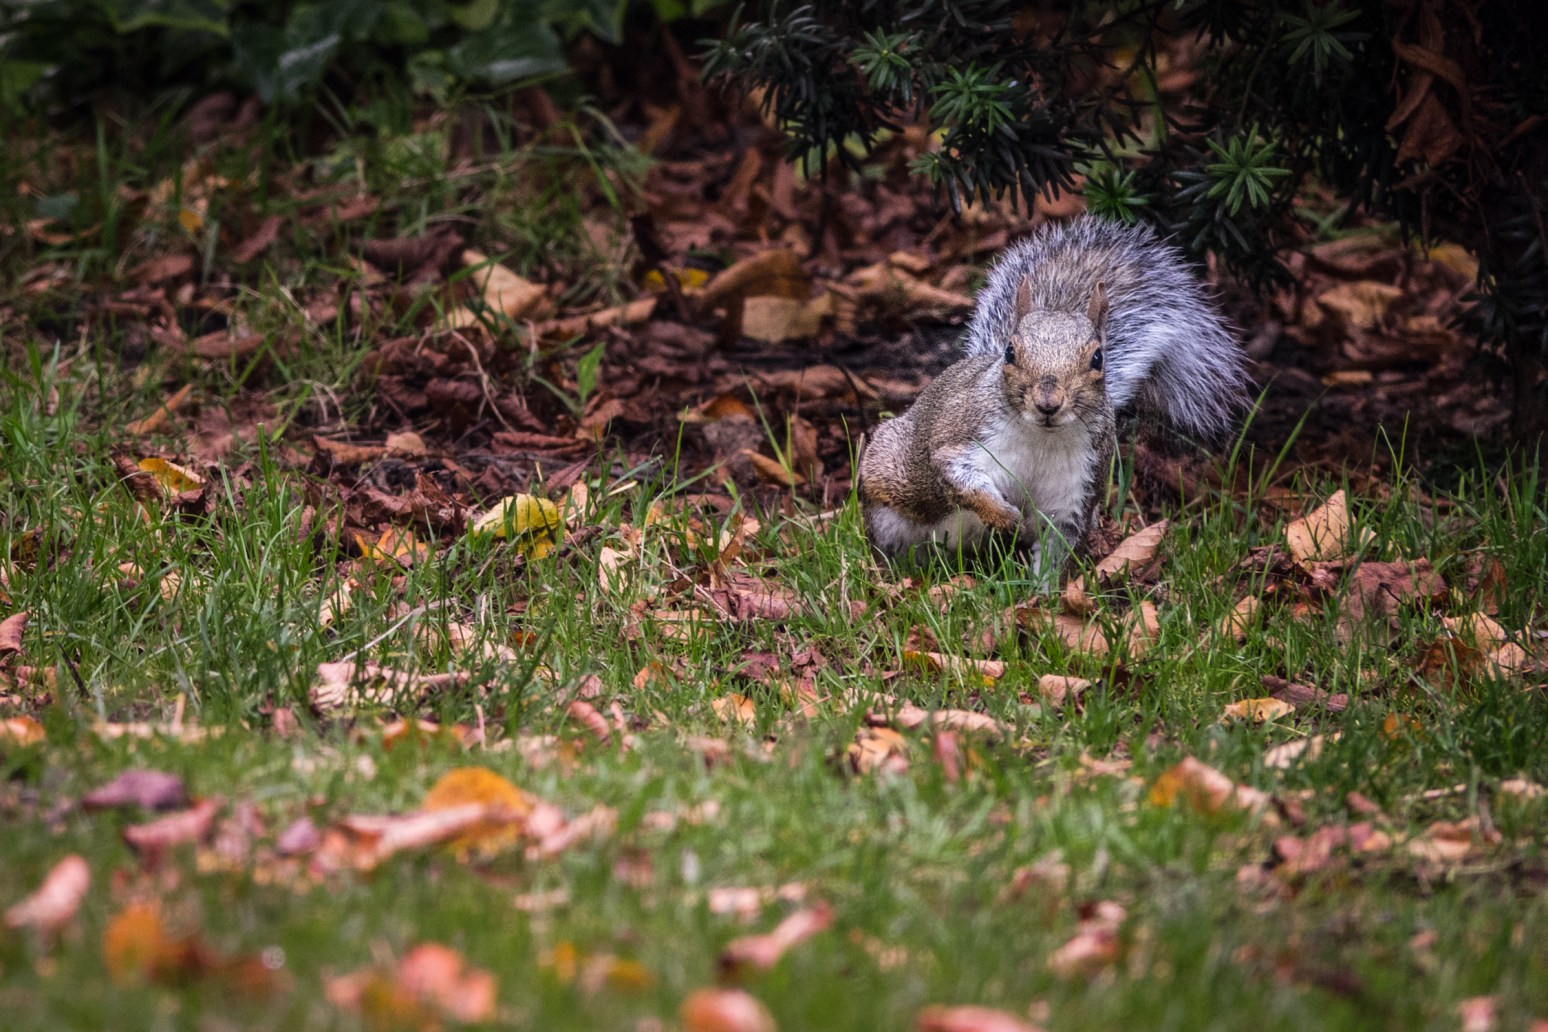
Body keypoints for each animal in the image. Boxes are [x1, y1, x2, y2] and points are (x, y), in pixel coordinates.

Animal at [857, 215, 1250, 578]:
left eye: (1098, 358)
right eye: (1010, 352)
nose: (1048, 403)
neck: (1041, 439)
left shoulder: (1075, 495)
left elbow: (1054, 549)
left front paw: (1041, 598)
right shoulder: (962, 439)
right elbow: (959, 478)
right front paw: (1005, 516)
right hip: (891, 499)